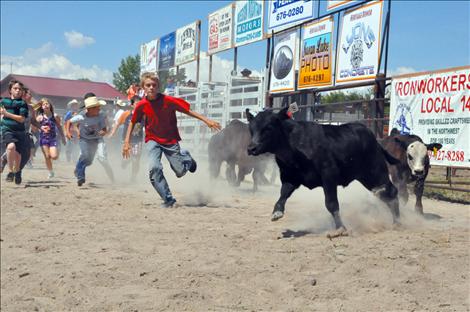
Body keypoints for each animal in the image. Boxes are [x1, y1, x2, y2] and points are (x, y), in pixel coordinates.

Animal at [246, 108, 400, 238]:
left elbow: (331, 203)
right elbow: (283, 194)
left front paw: (340, 229)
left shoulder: (329, 175)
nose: (251, 148)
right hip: (368, 178)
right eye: (251, 129)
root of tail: (375, 140)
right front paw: (277, 212)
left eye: (268, 128)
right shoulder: (289, 177)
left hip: (376, 172)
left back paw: (398, 222)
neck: (293, 144)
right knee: (385, 194)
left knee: (391, 191)